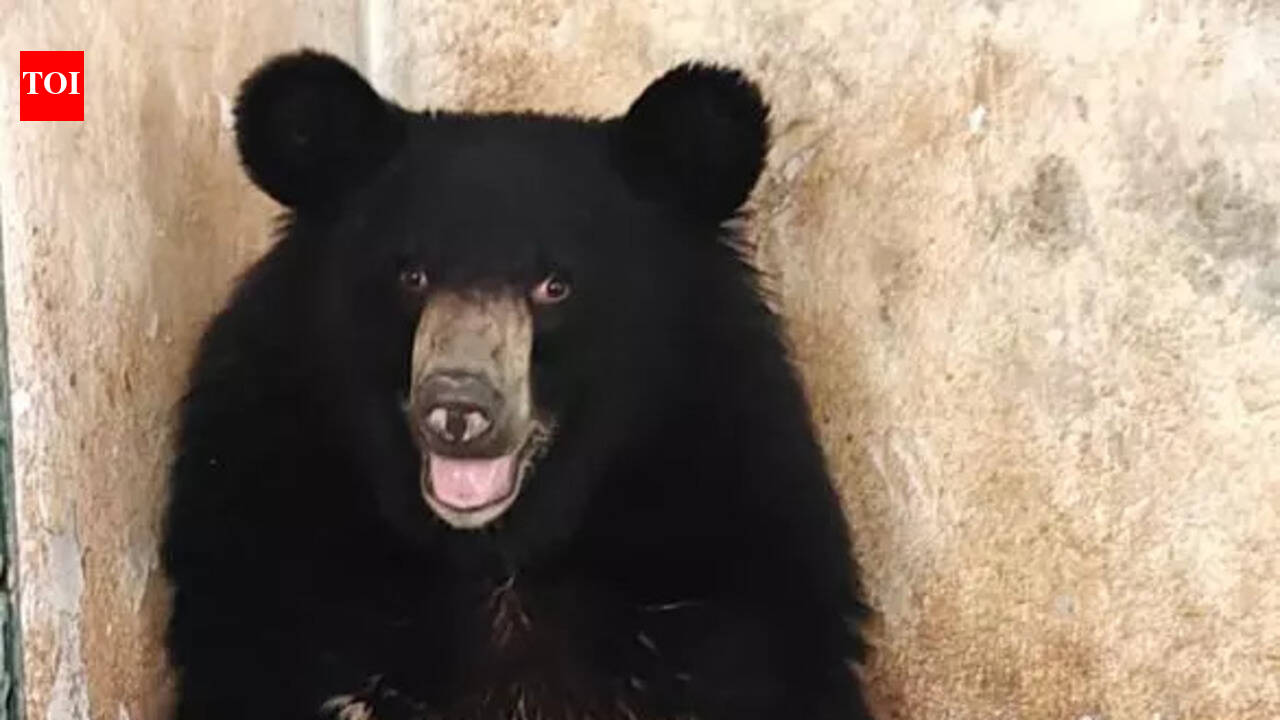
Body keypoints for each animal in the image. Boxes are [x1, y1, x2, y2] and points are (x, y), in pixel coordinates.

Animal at [161, 49, 873, 720]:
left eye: (555, 286)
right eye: (412, 275)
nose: (457, 411)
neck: (499, 557)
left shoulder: (731, 550)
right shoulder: (271, 554)